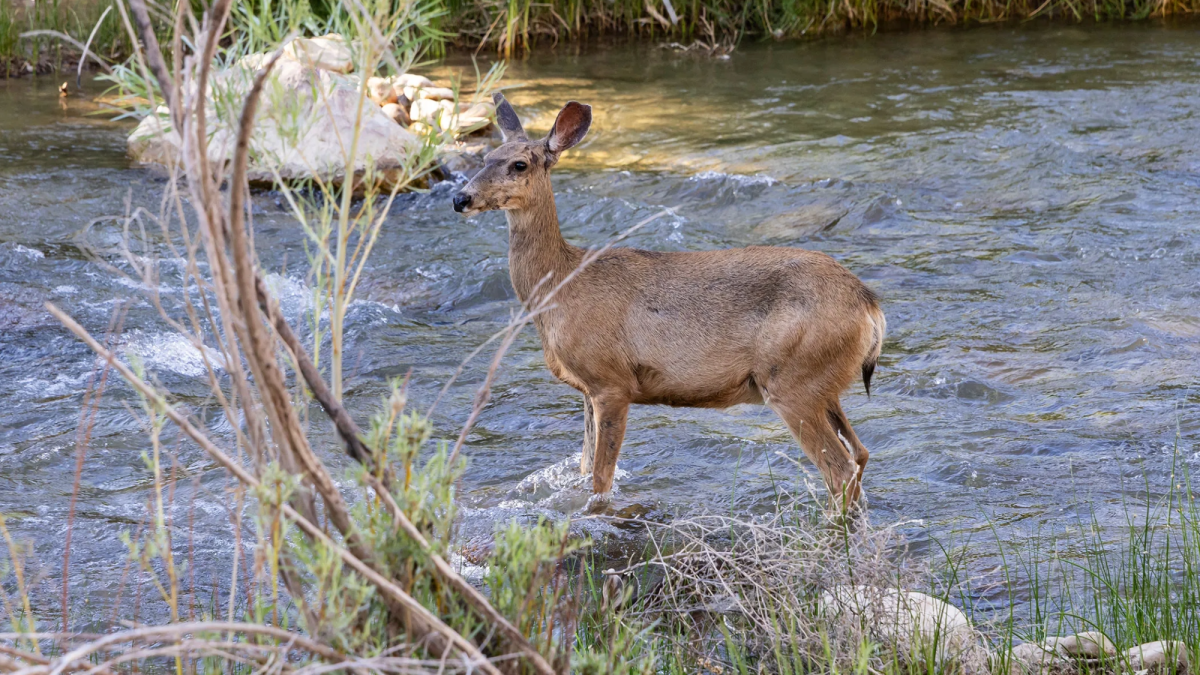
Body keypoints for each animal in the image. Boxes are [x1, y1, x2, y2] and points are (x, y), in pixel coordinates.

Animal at [451, 94, 886, 507]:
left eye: (519, 164)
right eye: (486, 158)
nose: (460, 198)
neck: (561, 286)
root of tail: (869, 305)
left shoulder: (611, 381)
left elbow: (601, 479)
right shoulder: (587, 390)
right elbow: (584, 466)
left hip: (793, 378)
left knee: (840, 469)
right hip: (822, 382)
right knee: (861, 453)